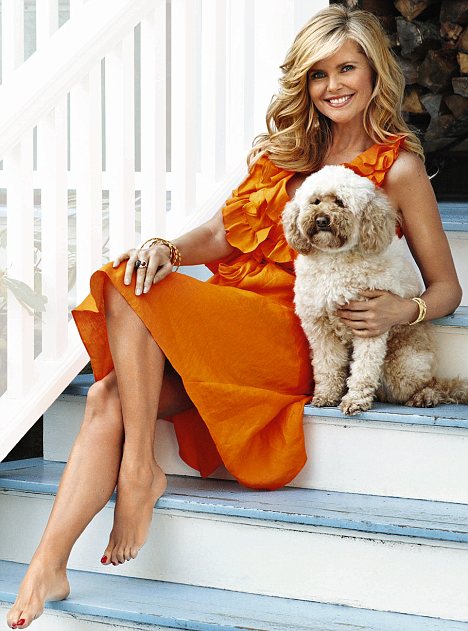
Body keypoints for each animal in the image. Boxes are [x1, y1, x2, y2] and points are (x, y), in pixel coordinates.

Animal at [282, 165, 468, 418]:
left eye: (340, 202)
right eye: (315, 201)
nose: (321, 220)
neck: (336, 260)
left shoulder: (370, 325)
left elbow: (364, 367)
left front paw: (355, 400)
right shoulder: (320, 327)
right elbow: (327, 365)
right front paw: (326, 396)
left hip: (403, 366)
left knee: (434, 384)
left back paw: (424, 396)